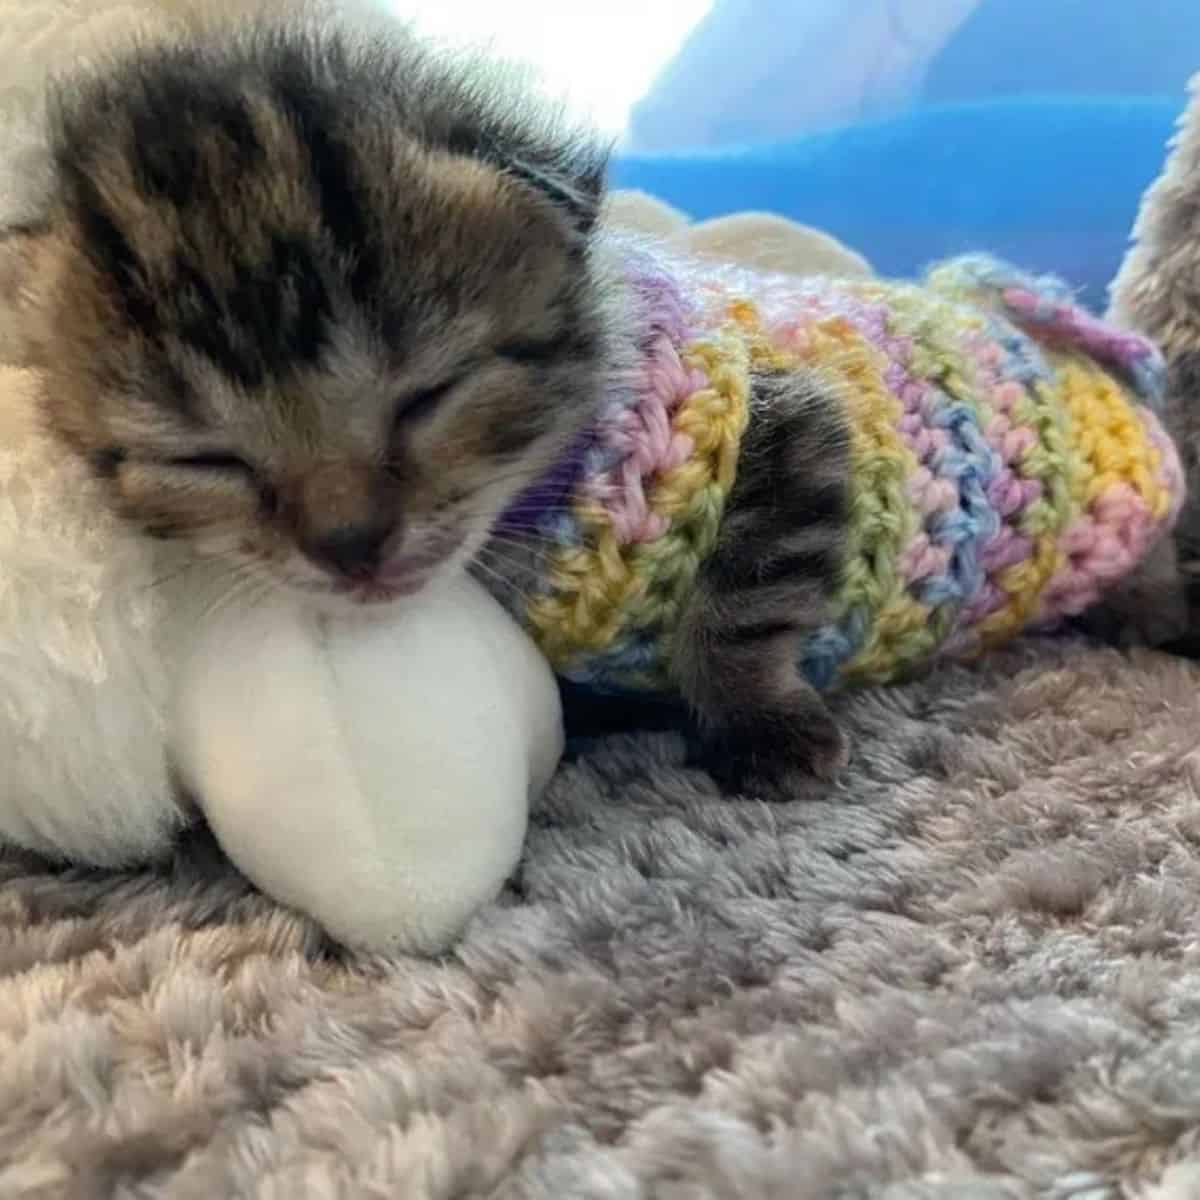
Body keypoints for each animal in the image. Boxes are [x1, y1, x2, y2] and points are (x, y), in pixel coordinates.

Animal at [4, 18, 859, 792]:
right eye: (205, 459)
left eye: (428, 397)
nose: (351, 546)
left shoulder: (787, 416)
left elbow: (749, 591)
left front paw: (760, 721)